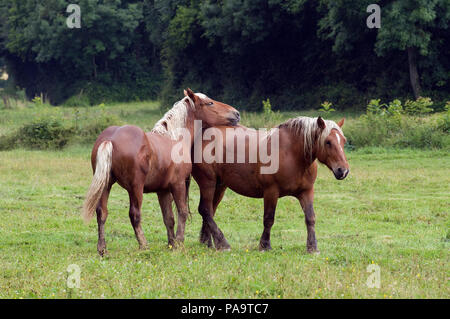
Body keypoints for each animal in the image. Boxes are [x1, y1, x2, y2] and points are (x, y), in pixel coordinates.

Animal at [82, 89, 241, 256]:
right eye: (210, 103)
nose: (236, 113)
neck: (174, 139)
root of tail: (110, 139)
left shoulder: (163, 190)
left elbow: (168, 218)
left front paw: (171, 244)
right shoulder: (178, 184)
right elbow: (182, 212)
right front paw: (179, 243)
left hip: (106, 186)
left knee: (102, 213)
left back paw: (102, 249)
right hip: (135, 188)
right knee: (135, 214)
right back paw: (144, 245)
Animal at [192, 116, 350, 254]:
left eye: (343, 141)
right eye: (328, 142)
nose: (343, 170)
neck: (292, 154)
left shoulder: (306, 192)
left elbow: (310, 218)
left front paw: (312, 248)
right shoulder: (271, 192)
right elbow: (269, 219)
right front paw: (265, 245)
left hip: (220, 186)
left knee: (210, 211)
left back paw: (208, 242)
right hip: (208, 183)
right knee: (205, 210)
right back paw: (222, 243)